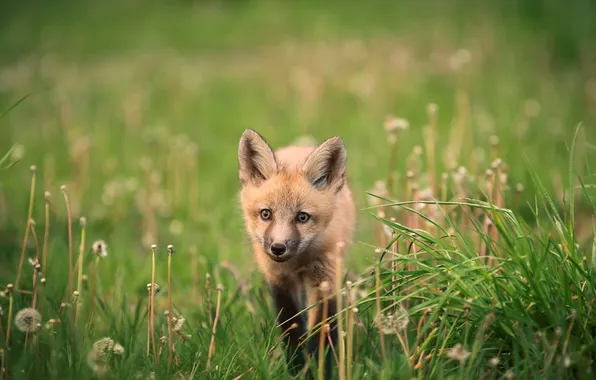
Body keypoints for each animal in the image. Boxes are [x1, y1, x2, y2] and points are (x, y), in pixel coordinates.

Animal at [237, 128, 356, 378]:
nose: (278, 247)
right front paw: (296, 367)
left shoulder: (325, 280)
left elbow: (322, 330)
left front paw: (320, 370)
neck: (298, 262)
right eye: (266, 214)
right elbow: (290, 328)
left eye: (302, 217)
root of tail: (297, 148)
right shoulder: (279, 280)